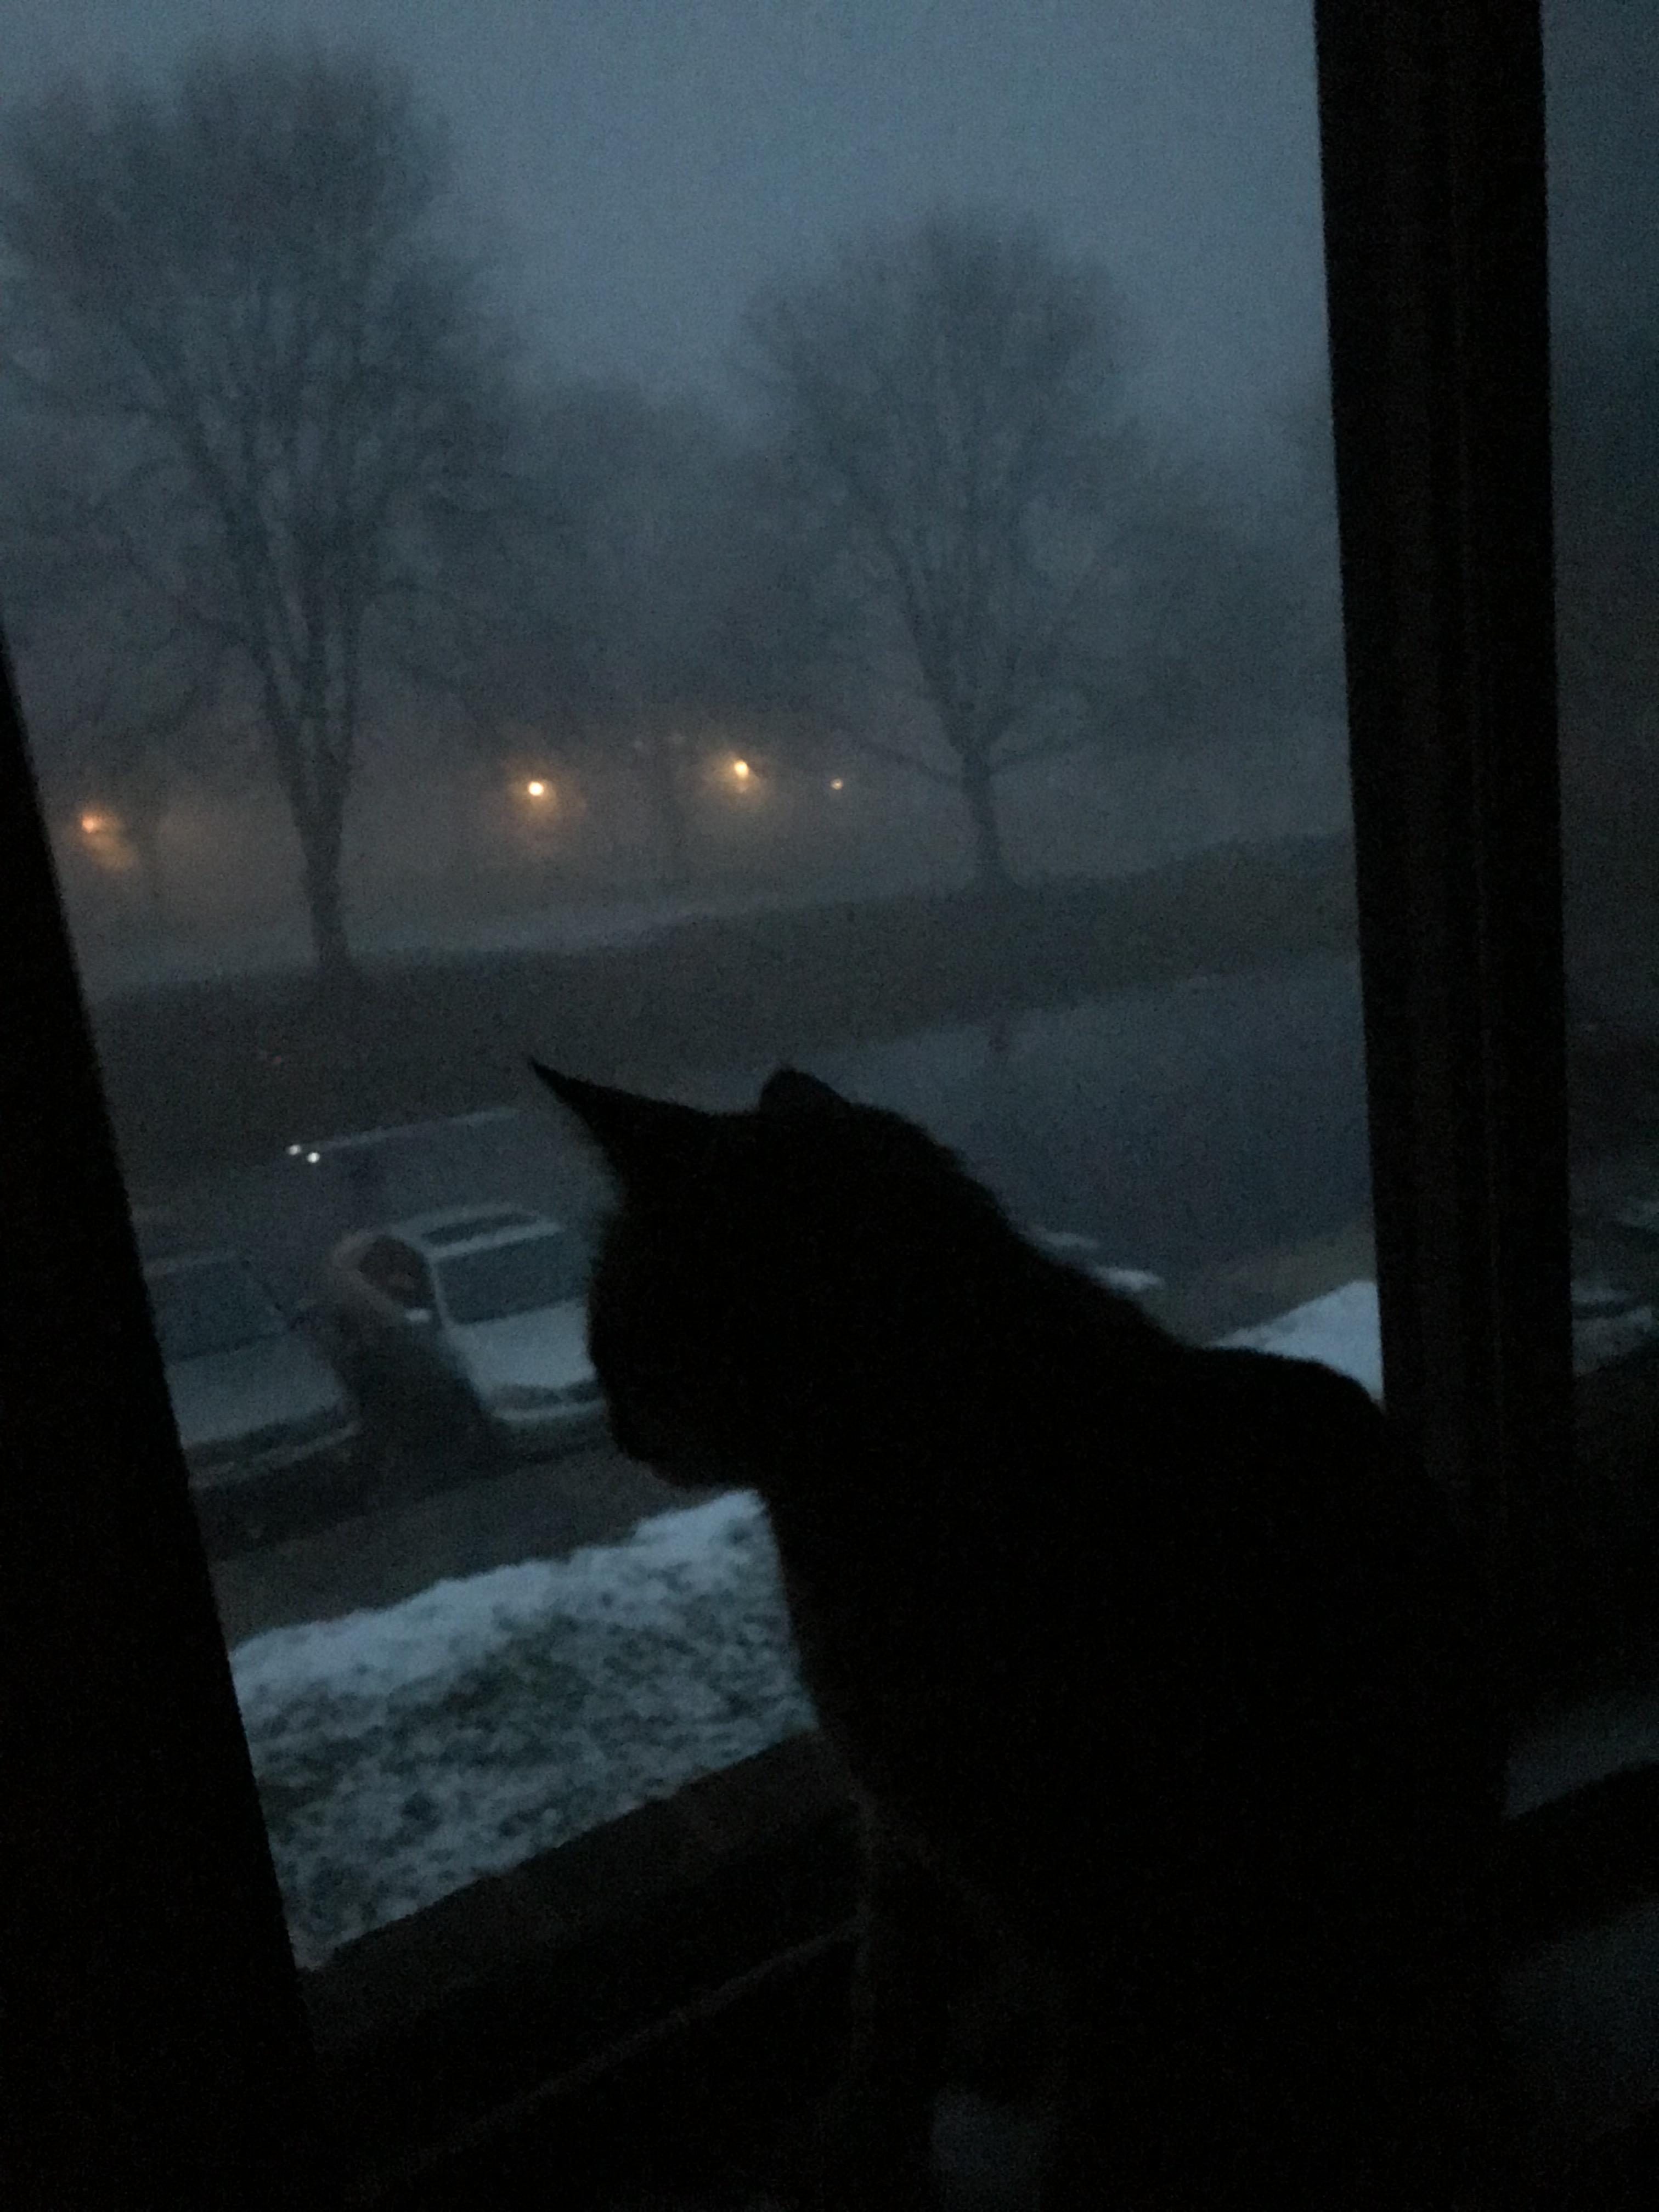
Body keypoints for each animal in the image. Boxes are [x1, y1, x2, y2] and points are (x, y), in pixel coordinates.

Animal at [535, 1060, 1508, 2209]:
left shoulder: (1106, 1918)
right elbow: (884, 2020)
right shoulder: (904, 1836)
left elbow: (1087, 2132)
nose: (611, 1427)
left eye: (618, 1329)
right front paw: (856, 2156)